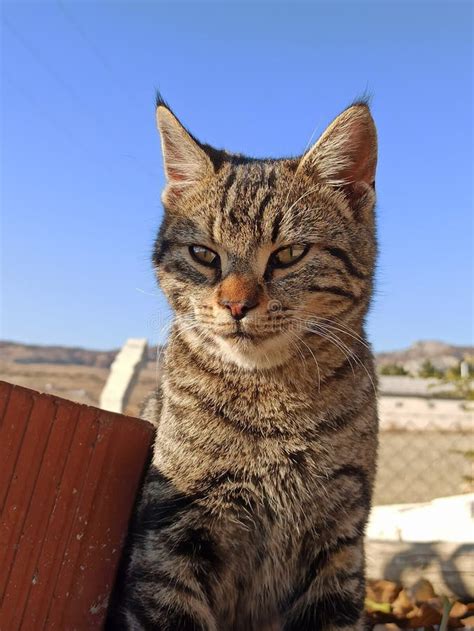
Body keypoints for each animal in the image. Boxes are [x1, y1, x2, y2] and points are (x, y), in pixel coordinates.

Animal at [109, 95, 380, 631]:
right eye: (203, 254)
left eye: (289, 254)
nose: (235, 304)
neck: (272, 397)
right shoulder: (171, 535)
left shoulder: (341, 542)